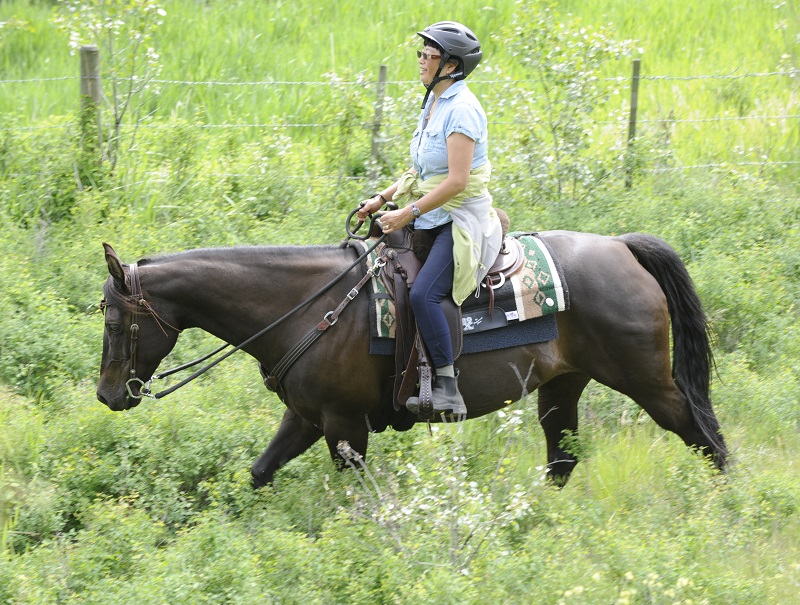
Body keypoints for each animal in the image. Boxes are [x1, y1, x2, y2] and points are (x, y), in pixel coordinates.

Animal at [97, 231, 728, 488]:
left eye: (113, 321)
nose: (107, 395)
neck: (311, 307)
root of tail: (623, 247)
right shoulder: (306, 417)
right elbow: (259, 472)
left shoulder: (345, 425)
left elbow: (360, 498)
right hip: (562, 386)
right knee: (562, 460)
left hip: (649, 382)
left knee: (706, 437)